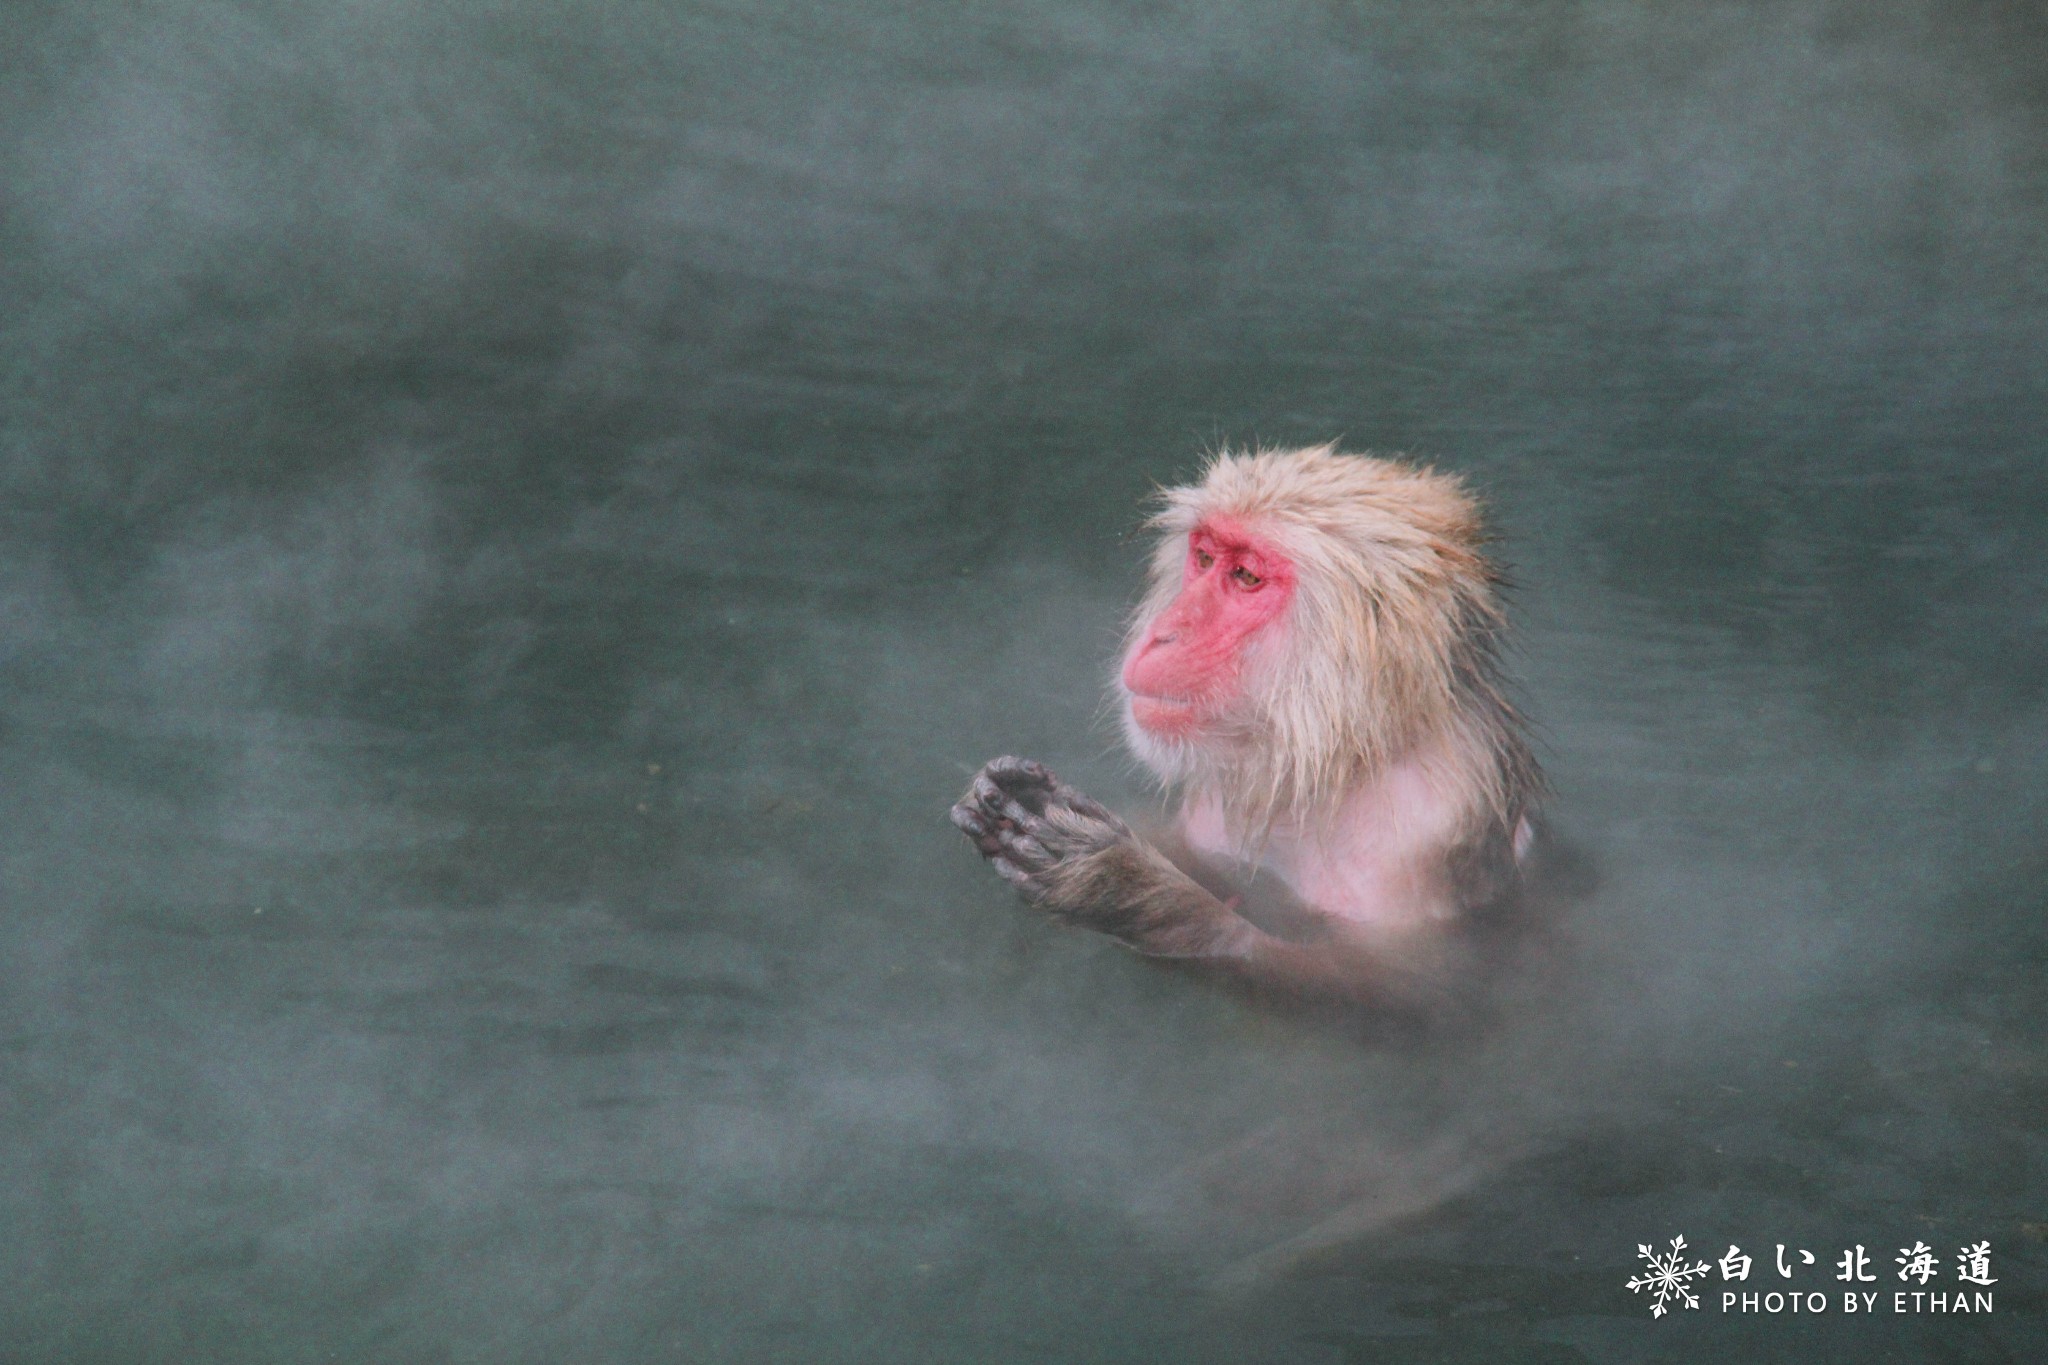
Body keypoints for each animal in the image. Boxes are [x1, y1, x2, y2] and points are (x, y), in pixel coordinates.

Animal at [950, 444, 1540, 1019]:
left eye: (1247, 577)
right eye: (1205, 559)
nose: (1164, 633)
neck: (1340, 760)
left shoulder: (1428, 827)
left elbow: (1419, 992)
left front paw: (1130, 892)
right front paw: (1026, 796)